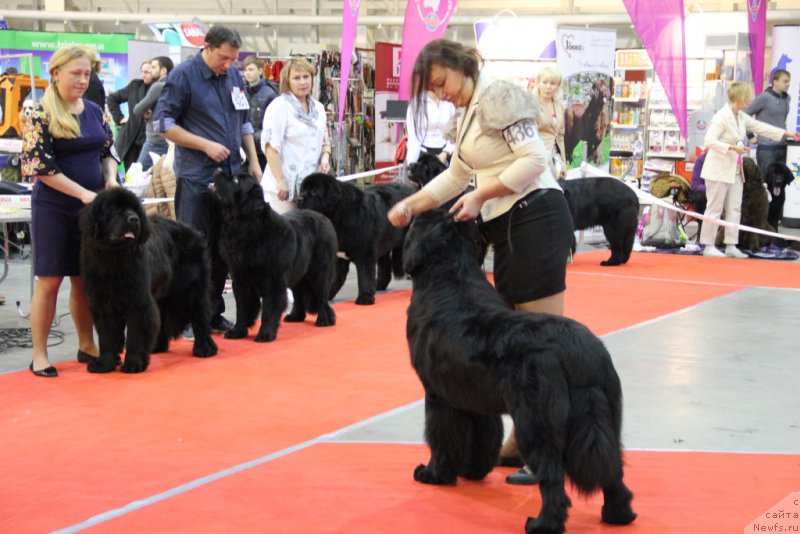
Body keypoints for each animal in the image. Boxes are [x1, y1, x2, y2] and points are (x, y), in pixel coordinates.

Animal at [79, 187, 217, 372]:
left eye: (135, 209)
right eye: (114, 209)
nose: (134, 219)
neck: (114, 258)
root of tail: (191, 231)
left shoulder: (138, 302)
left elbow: (136, 333)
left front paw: (134, 363)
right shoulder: (102, 303)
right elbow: (107, 336)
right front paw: (104, 363)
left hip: (193, 290)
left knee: (199, 317)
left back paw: (205, 348)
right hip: (163, 294)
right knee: (162, 317)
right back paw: (158, 346)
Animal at [211, 171, 336, 344]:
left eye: (235, 180)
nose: (217, 170)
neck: (245, 227)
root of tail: (321, 216)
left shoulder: (273, 281)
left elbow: (269, 309)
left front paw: (265, 334)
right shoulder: (240, 279)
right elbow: (242, 309)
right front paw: (237, 331)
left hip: (319, 271)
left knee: (322, 295)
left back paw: (324, 320)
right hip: (298, 272)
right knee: (298, 294)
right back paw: (295, 316)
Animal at [296, 173, 416, 306]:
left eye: (314, 191)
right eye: (302, 190)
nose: (298, 199)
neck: (339, 214)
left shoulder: (365, 253)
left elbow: (365, 276)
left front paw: (365, 298)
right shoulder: (340, 256)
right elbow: (336, 278)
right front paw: (326, 296)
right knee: (384, 266)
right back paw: (379, 285)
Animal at [406, 211, 636, 532]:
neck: (450, 274)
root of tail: (580, 353)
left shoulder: (439, 395)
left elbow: (442, 436)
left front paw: (433, 474)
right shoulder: (474, 398)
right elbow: (483, 435)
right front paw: (473, 471)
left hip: (536, 421)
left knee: (552, 476)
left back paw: (542, 523)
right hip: (607, 417)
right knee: (613, 468)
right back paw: (618, 515)